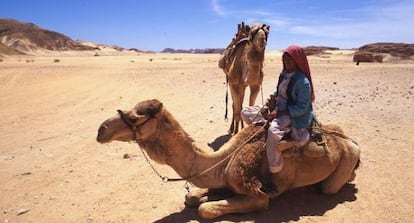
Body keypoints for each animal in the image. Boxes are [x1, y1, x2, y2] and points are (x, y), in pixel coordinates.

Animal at [96, 99, 360, 220]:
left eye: (134, 117)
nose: (101, 130)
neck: (222, 161)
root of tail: (350, 140)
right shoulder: (222, 179)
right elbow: (193, 197)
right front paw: (201, 196)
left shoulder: (257, 195)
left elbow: (205, 209)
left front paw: (208, 203)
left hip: (346, 160)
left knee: (330, 186)